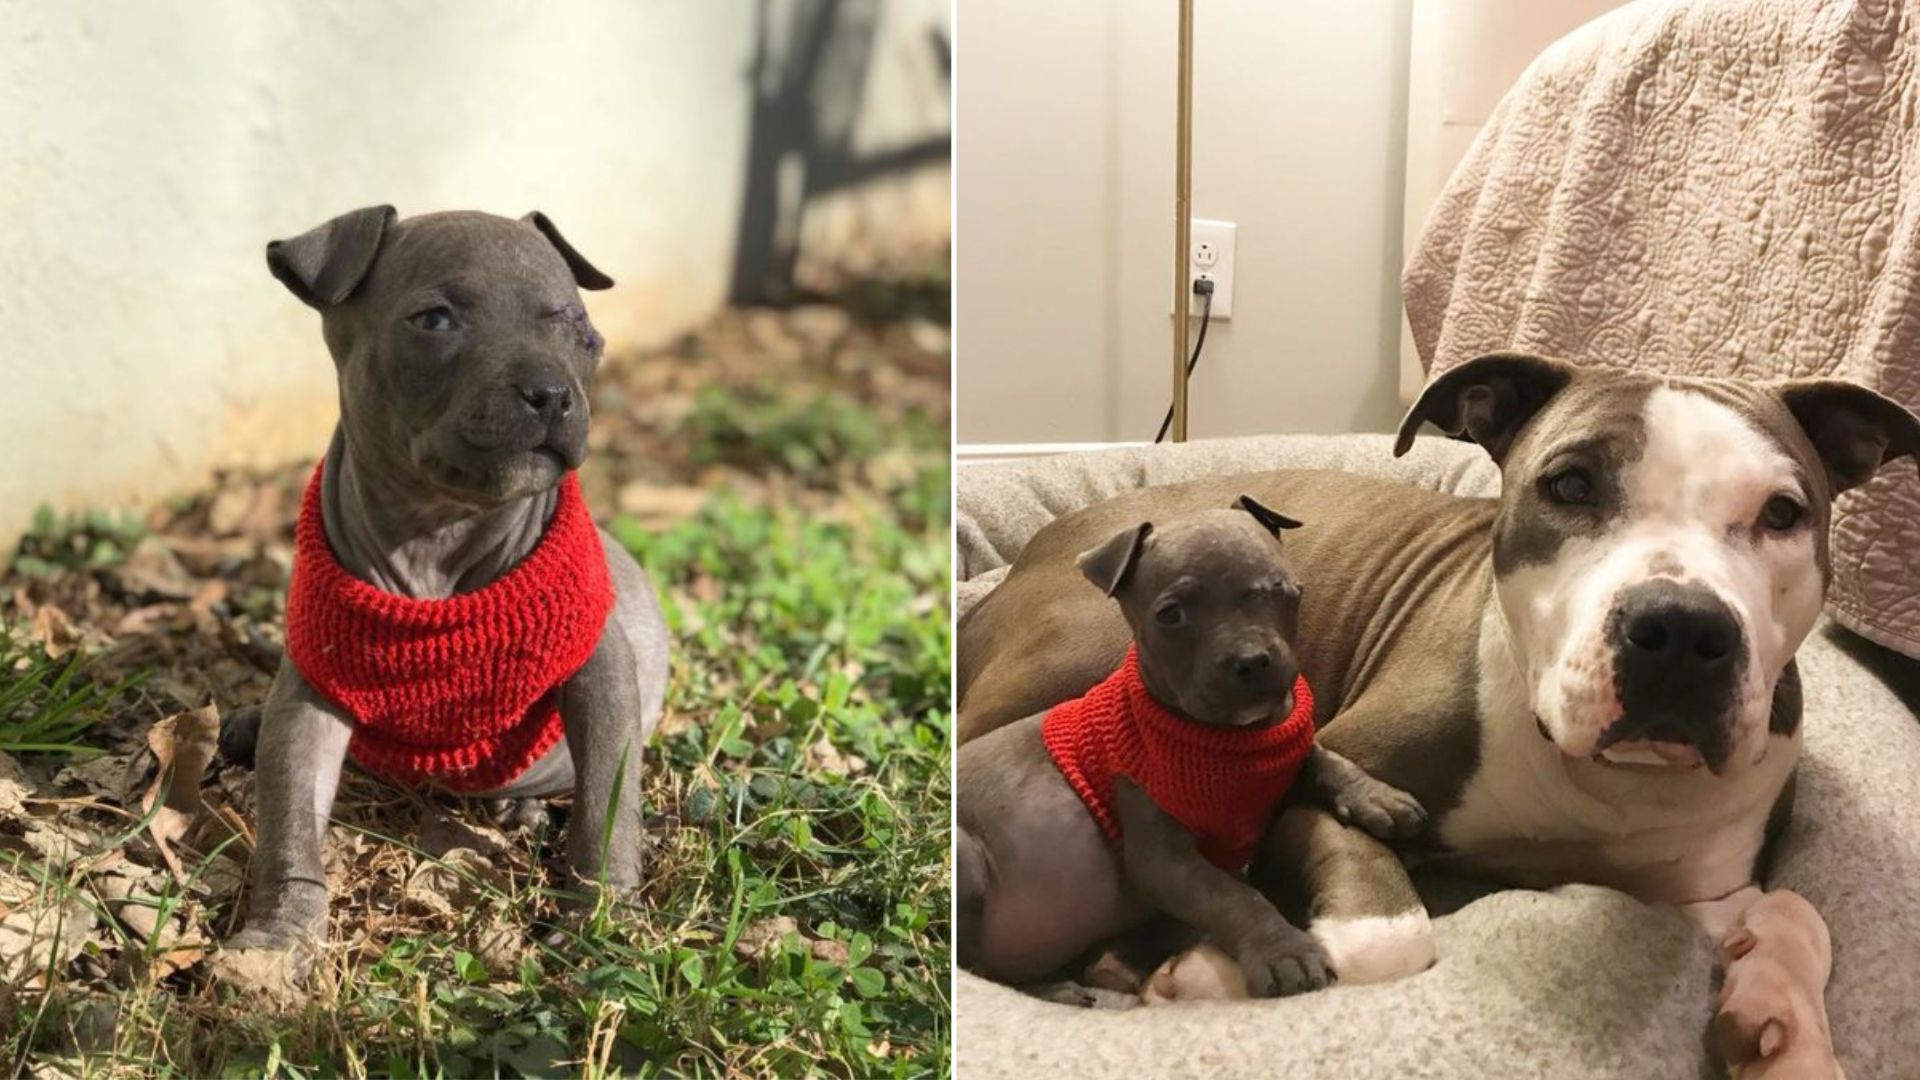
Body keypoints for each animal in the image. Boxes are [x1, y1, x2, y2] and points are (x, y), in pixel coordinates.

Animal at [214, 203, 668, 968]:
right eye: (435, 320)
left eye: (581, 330)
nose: (552, 393)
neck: (438, 534)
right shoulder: (314, 690)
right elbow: (290, 821)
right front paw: (281, 934)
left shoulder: (599, 670)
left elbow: (608, 809)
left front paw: (600, 920)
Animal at [960, 495, 1428, 991]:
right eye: (1171, 615)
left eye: (1285, 592)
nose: (1252, 660)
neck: (1235, 739)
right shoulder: (1163, 860)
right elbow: (1234, 897)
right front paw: (1285, 952)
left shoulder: (1283, 758)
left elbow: (1321, 759)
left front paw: (1376, 796)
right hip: (970, 864)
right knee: (982, 970)